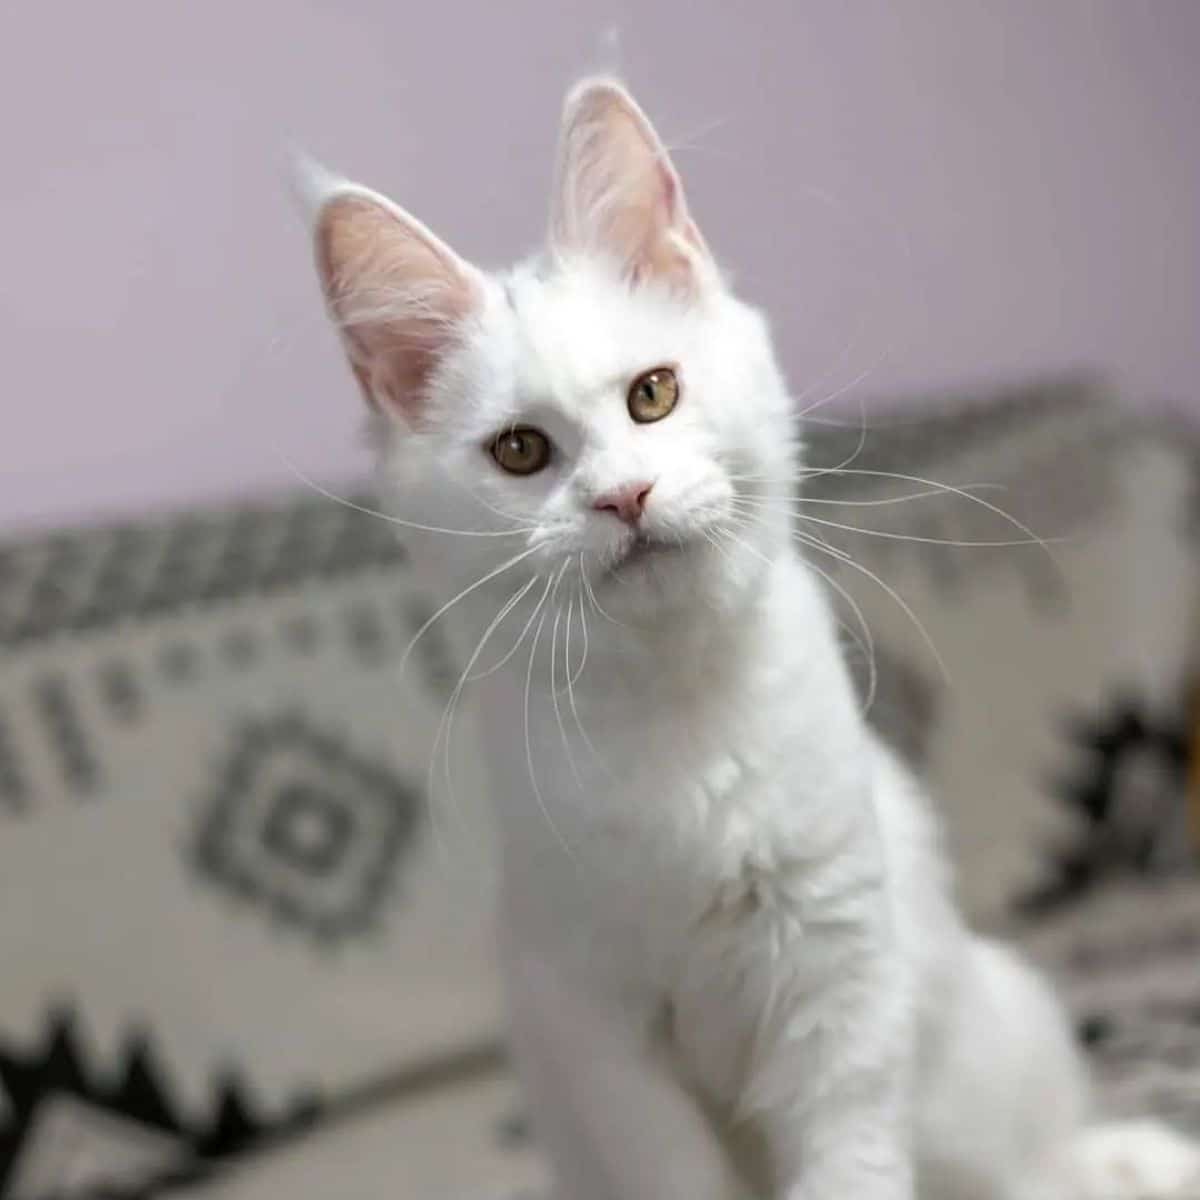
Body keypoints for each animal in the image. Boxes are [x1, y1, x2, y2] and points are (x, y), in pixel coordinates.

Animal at [297, 79, 1200, 1200]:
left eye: (653, 393)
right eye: (520, 452)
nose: (623, 496)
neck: (677, 712)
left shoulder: (840, 972)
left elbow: (850, 1165)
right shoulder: (598, 1030)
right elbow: (672, 1173)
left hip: (988, 1053)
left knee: (1043, 1163)